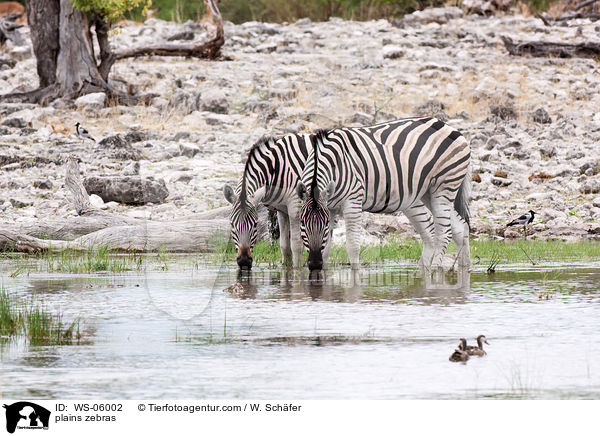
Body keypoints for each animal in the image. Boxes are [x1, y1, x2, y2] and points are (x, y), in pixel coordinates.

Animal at [298, 117, 472, 270]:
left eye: (325, 224)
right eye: (302, 223)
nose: (314, 264)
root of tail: (447, 126)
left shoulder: (353, 201)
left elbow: (353, 246)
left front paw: (355, 277)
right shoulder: (330, 207)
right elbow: (326, 248)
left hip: (445, 185)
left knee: (444, 233)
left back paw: (435, 271)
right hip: (429, 191)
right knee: (459, 227)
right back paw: (463, 268)